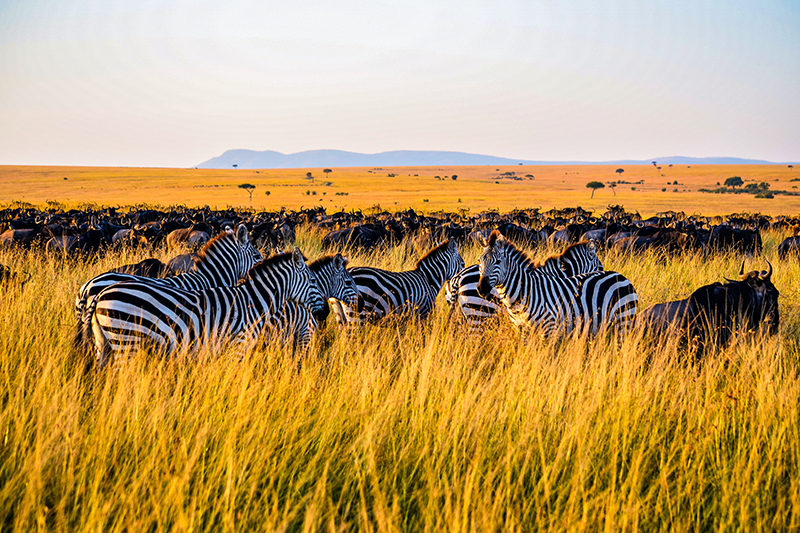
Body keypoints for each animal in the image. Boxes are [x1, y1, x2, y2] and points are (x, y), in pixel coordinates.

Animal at [90, 246, 322, 366]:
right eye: (312, 280)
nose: (323, 312)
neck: (253, 302)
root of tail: (100, 293)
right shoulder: (237, 346)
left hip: (105, 343)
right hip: (126, 341)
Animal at [476, 231, 636, 338]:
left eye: (498, 261)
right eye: (479, 260)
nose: (481, 288)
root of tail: (621, 275)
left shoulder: (550, 329)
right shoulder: (521, 330)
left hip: (624, 321)